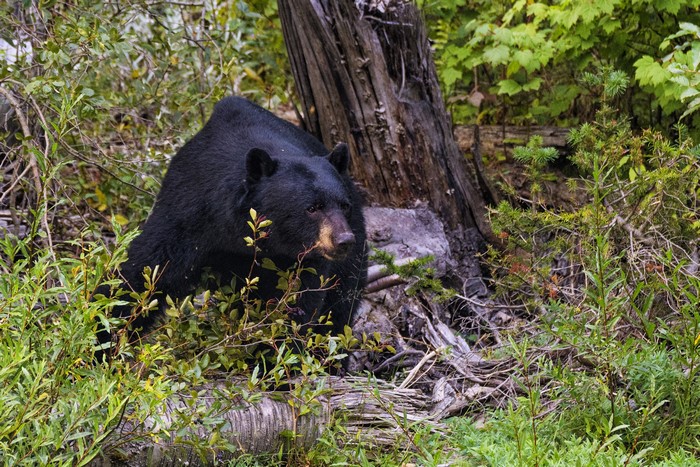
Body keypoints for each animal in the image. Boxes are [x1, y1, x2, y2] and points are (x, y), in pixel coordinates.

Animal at [96, 96, 367, 360]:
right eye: (312, 207)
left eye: (344, 205)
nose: (343, 240)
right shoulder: (187, 213)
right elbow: (143, 273)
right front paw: (103, 340)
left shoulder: (303, 259)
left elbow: (296, 303)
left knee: (341, 305)